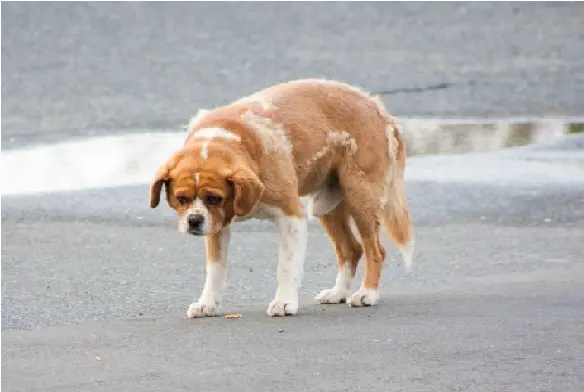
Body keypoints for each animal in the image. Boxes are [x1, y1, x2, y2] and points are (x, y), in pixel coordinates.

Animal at [151, 79, 416, 318]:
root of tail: (378, 107)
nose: (194, 221)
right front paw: (208, 304)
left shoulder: (291, 217)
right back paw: (338, 293)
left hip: (360, 198)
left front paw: (285, 302)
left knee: (375, 250)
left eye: (214, 198)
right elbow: (215, 270)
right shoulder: (217, 226)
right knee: (351, 249)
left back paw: (367, 294)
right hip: (325, 206)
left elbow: (286, 266)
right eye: (181, 198)